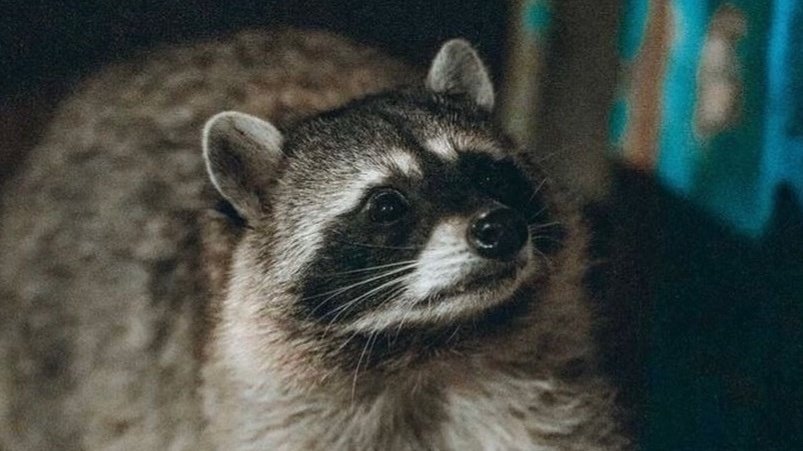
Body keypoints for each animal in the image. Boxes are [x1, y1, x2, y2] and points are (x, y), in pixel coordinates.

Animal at [0, 29, 628, 450]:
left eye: (490, 176)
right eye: (387, 206)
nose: (500, 228)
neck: (431, 352)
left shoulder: (541, 395)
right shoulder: (262, 406)